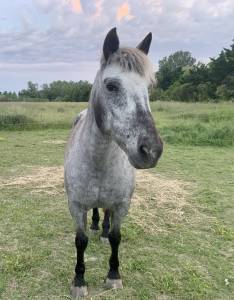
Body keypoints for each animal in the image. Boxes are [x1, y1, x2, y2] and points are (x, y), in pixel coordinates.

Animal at [64, 27, 163, 298]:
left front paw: (113, 275)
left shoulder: (122, 205)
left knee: (105, 211)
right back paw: (96, 226)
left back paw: (104, 230)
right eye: (111, 85)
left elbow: (117, 238)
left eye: (148, 87)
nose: (151, 150)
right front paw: (79, 281)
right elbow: (80, 241)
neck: (99, 161)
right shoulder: (76, 206)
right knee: (97, 211)